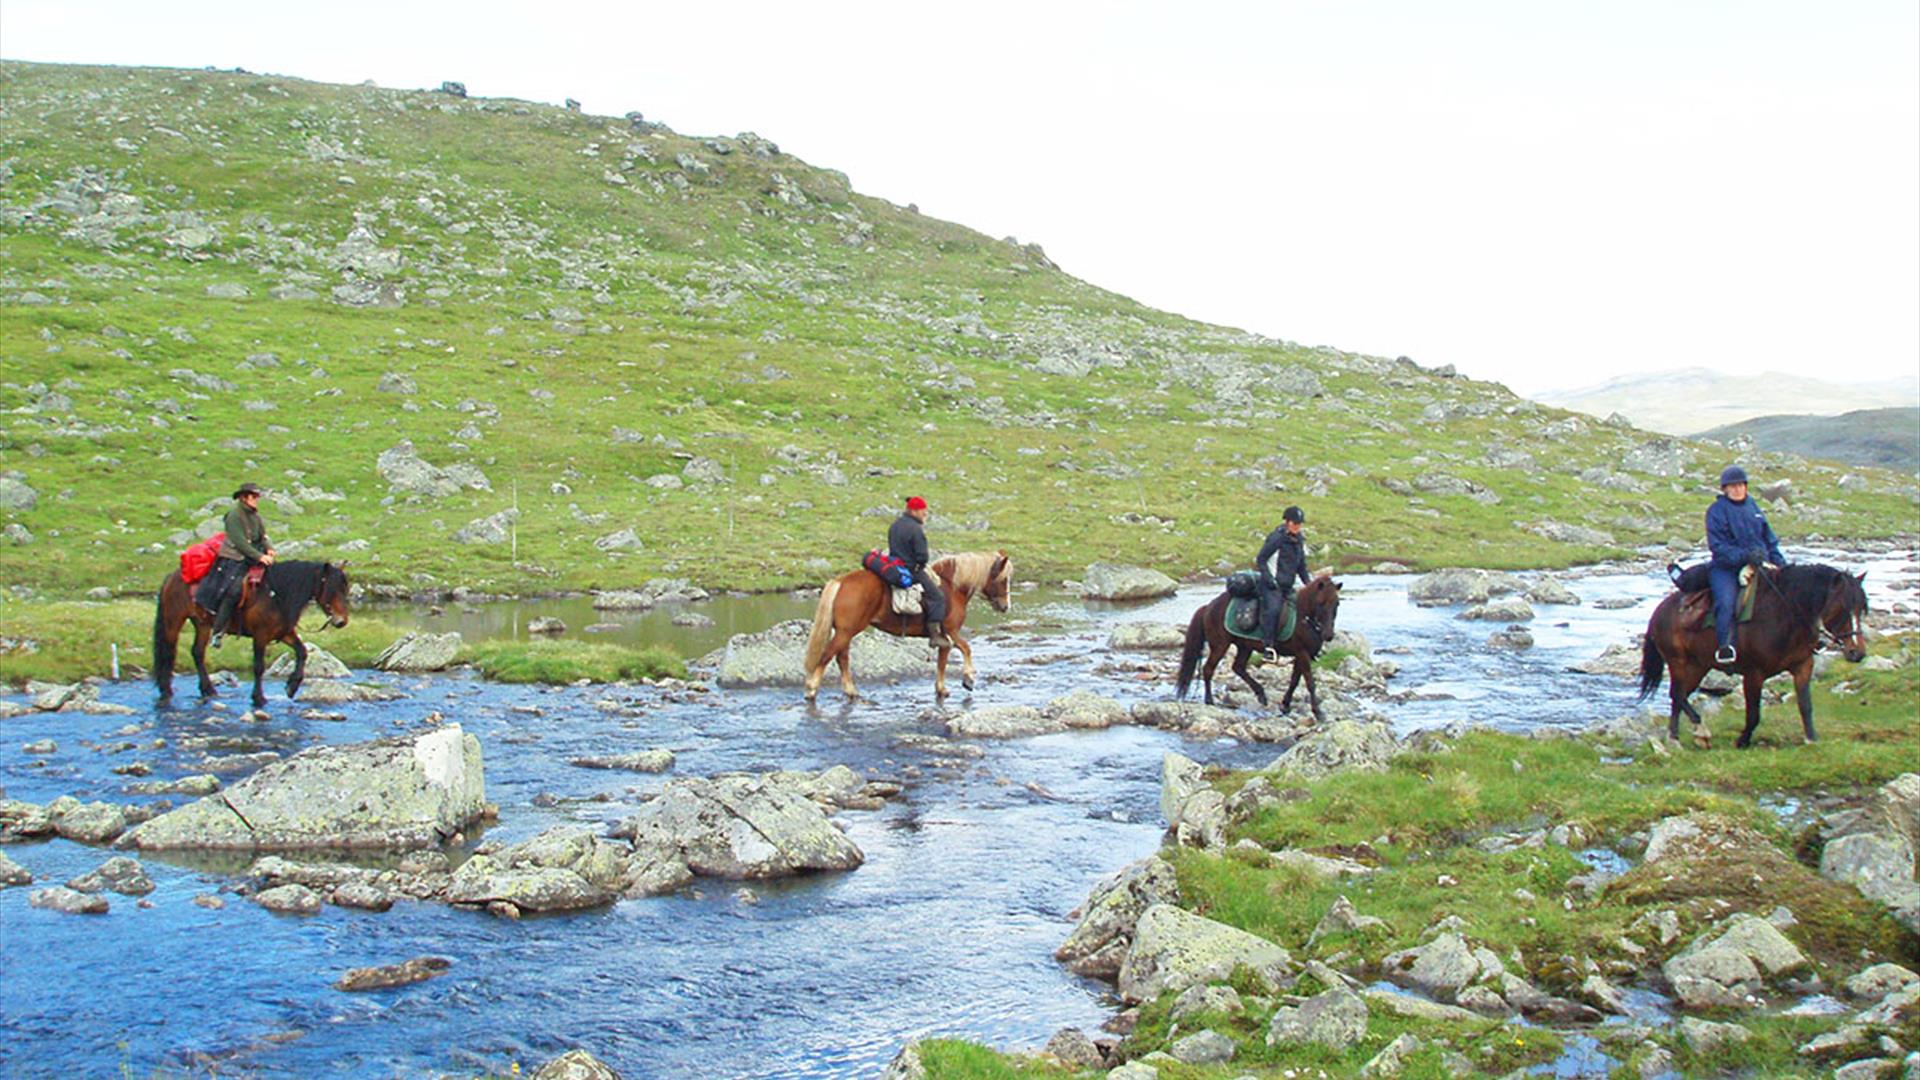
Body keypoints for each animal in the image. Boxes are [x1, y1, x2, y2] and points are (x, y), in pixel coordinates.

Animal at [153, 557, 353, 703]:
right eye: (331, 588)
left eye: (345, 588)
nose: (341, 621)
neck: (276, 595)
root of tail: (171, 577)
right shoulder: (260, 635)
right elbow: (258, 667)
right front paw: (259, 698)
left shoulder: (284, 633)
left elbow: (302, 652)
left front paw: (292, 686)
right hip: (174, 620)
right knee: (168, 653)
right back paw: (166, 690)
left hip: (202, 624)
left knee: (197, 652)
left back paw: (209, 690)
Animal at [802, 549, 1013, 703]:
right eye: (1003, 579)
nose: (1005, 606)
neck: (953, 588)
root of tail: (840, 581)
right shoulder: (952, 631)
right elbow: (966, 648)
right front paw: (968, 679)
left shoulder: (943, 637)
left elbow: (942, 661)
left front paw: (941, 689)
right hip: (846, 632)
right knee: (828, 655)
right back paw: (812, 690)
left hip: (845, 632)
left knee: (842, 658)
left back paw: (850, 691)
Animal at [1175, 572, 1344, 714]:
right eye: (1321, 603)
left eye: (1337, 603)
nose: (1328, 635)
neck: (1303, 616)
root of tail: (1208, 606)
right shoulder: (1301, 653)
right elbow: (1309, 682)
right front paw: (1318, 712)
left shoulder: (1301, 654)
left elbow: (1295, 681)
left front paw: (1285, 705)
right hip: (1220, 645)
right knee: (1208, 669)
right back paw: (1209, 700)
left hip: (1244, 646)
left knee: (1238, 667)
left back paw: (1261, 694)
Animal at [1643, 557, 1866, 745]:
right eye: (1842, 608)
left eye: (1862, 608)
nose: (1858, 653)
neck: (1784, 615)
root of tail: (1659, 611)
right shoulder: (1753, 674)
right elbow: (1753, 714)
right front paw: (1742, 741)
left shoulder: (1803, 665)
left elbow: (1805, 705)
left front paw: (1811, 739)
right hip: (1678, 662)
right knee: (1677, 693)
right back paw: (1698, 731)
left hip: (1698, 666)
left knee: (1679, 696)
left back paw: (1677, 736)